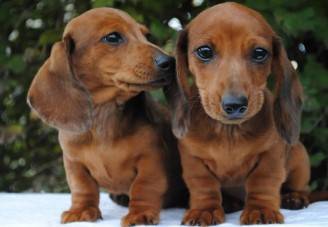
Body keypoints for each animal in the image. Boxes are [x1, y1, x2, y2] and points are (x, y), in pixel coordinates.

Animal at [26, 7, 186, 227]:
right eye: (112, 37)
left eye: (146, 35)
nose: (169, 62)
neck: (105, 116)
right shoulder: (74, 163)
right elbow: (82, 187)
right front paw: (82, 210)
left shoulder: (151, 158)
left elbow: (144, 186)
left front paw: (140, 213)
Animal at [165, 2, 312, 225]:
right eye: (204, 51)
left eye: (259, 53)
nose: (234, 105)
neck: (229, 132)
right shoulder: (192, 158)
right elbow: (203, 184)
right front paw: (204, 210)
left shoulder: (272, 153)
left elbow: (263, 180)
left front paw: (260, 209)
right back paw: (229, 203)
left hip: (299, 156)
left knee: (302, 188)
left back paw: (294, 197)